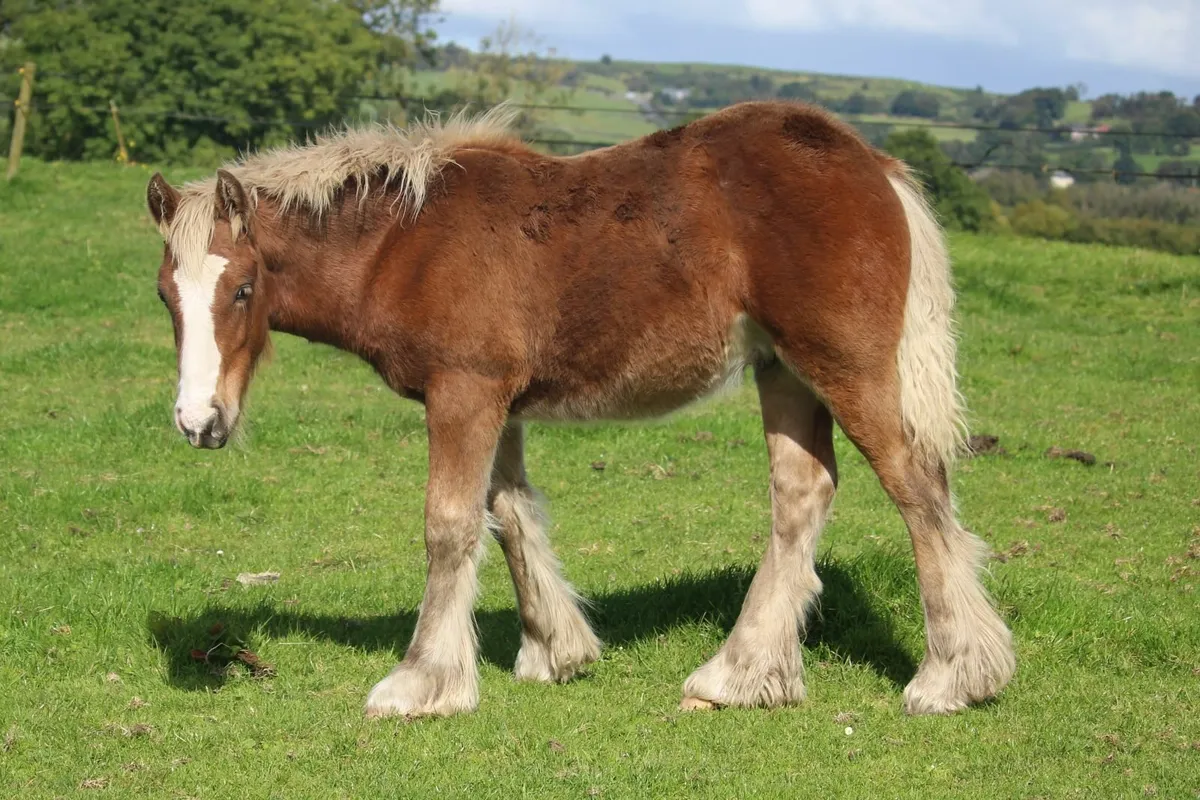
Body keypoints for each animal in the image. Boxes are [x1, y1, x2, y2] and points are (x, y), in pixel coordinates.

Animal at [145, 100, 1017, 719]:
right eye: (165, 297)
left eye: (243, 289)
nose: (199, 423)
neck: (405, 241)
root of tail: (872, 162)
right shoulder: (499, 400)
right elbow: (510, 513)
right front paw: (556, 653)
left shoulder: (463, 392)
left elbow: (450, 525)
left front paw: (422, 684)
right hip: (784, 370)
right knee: (803, 494)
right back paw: (740, 675)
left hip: (844, 363)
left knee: (917, 486)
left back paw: (953, 678)